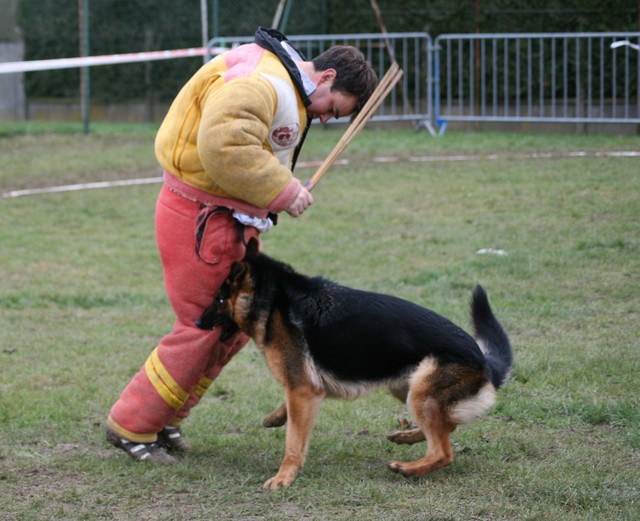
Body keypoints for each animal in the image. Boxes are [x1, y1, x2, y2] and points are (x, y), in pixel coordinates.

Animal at [197, 239, 513, 489]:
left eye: (219, 299)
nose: (198, 323)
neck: (275, 299)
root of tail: (484, 359)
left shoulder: (303, 390)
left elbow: (293, 443)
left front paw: (284, 477)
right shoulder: (302, 388)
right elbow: (288, 411)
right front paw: (275, 417)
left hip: (420, 389)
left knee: (443, 451)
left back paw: (407, 468)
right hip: (407, 386)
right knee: (448, 426)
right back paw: (407, 436)